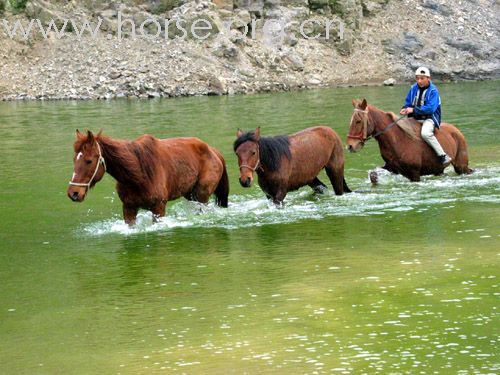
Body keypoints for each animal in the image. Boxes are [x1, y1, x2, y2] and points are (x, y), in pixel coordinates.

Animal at [67, 131, 229, 225]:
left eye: (89, 161)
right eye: (74, 159)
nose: (73, 193)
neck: (138, 175)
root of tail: (214, 151)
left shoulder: (159, 208)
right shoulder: (128, 208)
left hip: (202, 196)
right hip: (190, 195)